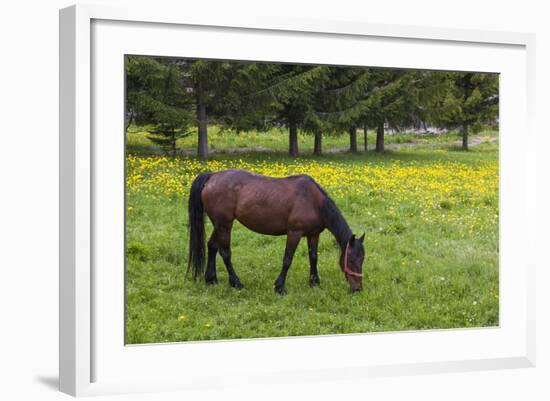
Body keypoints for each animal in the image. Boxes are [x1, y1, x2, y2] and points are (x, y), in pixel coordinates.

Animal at [187, 167, 366, 292]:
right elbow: (287, 259)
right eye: (350, 260)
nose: (357, 288)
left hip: (219, 224)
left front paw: (314, 282)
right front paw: (279, 287)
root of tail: (212, 176)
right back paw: (236, 283)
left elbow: (313, 257)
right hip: (224, 225)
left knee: (212, 246)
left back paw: (211, 279)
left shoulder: (313, 234)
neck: (314, 202)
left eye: (362, 260)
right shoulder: (294, 233)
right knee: (225, 253)